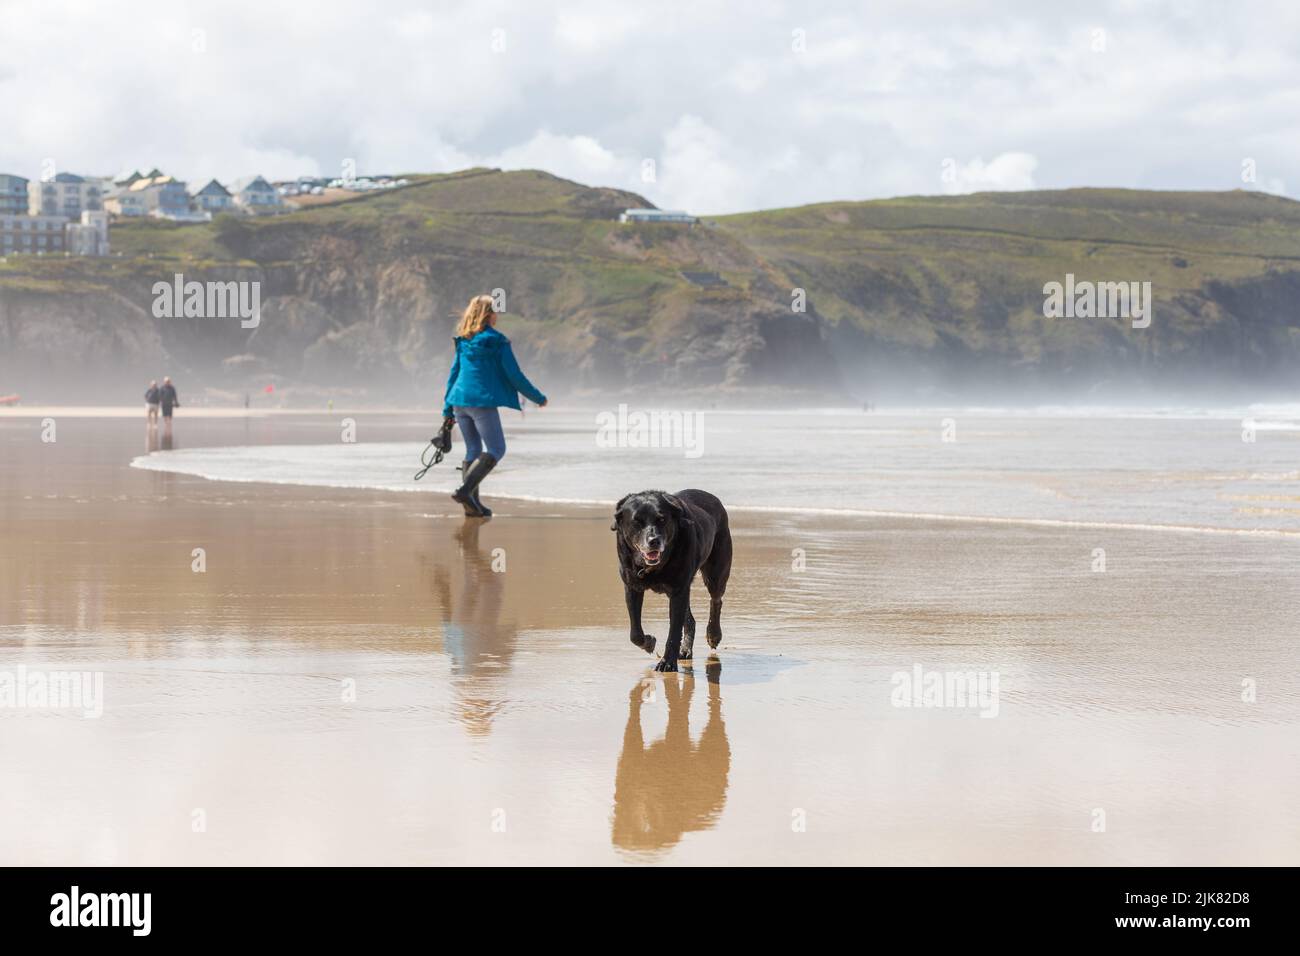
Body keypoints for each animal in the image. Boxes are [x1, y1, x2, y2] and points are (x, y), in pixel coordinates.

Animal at [611, 489, 733, 671]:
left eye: (662, 519)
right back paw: (686, 650)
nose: (654, 541)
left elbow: (674, 631)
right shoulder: (632, 587)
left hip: (716, 572)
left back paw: (713, 634)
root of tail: (713, 497)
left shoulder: (678, 591)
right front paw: (649, 642)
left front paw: (667, 663)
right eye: (636, 521)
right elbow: (635, 633)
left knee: (716, 599)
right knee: (690, 619)